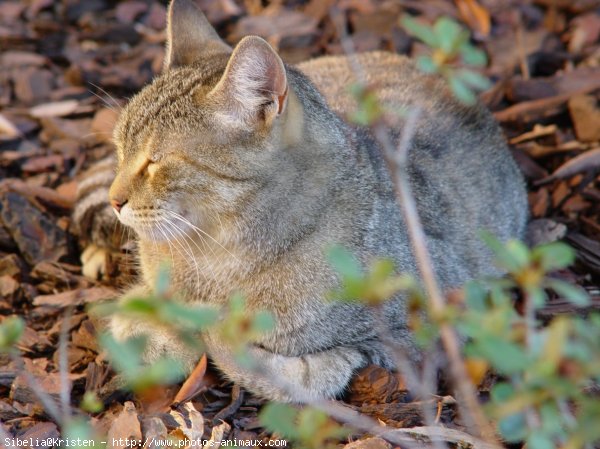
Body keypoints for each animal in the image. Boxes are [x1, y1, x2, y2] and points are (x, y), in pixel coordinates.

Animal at [74, 0, 524, 400]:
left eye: (155, 162)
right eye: (120, 149)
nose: (115, 200)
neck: (218, 252)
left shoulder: (416, 338)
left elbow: (303, 374)